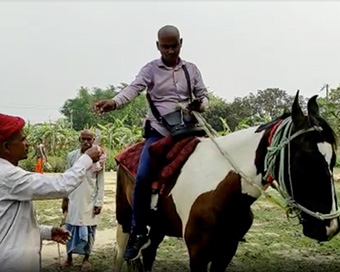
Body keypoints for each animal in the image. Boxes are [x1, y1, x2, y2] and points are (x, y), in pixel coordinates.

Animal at [113, 93, 338, 272]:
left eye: (333, 159)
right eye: (305, 159)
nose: (331, 227)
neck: (222, 190)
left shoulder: (227, 249)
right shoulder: (198, 252)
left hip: (158, 225)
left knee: (149, 253)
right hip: (125, 221)